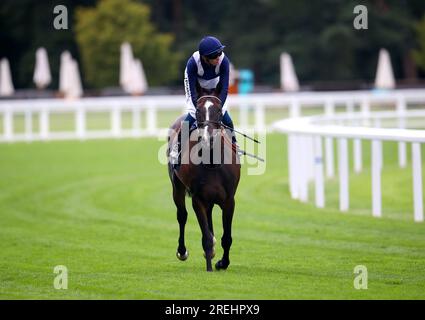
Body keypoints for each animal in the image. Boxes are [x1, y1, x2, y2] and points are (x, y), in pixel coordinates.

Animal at [166, 89, 240, 272]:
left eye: (219, 111)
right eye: (199, 111)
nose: (208, 138)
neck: (212, 162)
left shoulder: (229, 200)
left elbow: (227, 237)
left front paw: (222, 262)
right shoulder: (198, 199)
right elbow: (204, 235)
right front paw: (209, 267)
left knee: (209, 216)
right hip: (177, 187)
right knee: (182, 215)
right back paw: (183, 251)